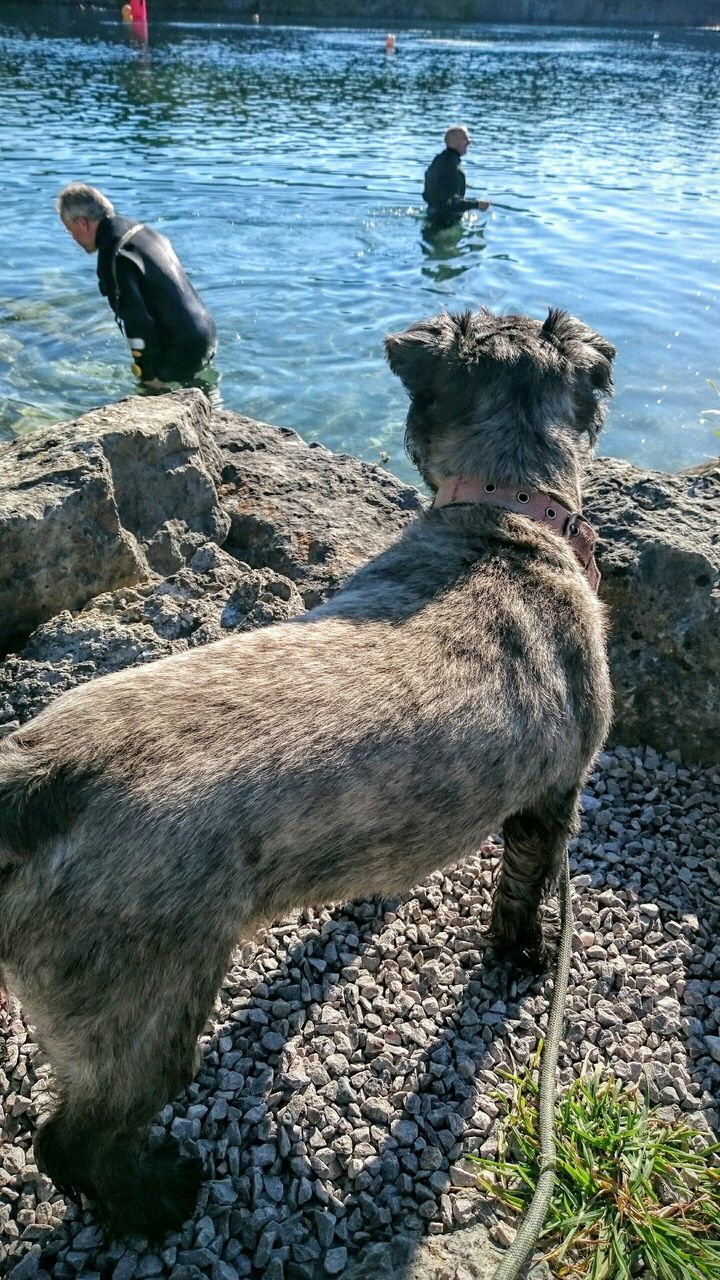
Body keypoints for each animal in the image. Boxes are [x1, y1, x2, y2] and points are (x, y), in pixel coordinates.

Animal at [0, 304, 614, 1233]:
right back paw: (156, 1199)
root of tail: (39, 779)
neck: (505, 523)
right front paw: (524, 952)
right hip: (141, 1005)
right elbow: (523, 890)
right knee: (77, 1137)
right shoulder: (553, 798)